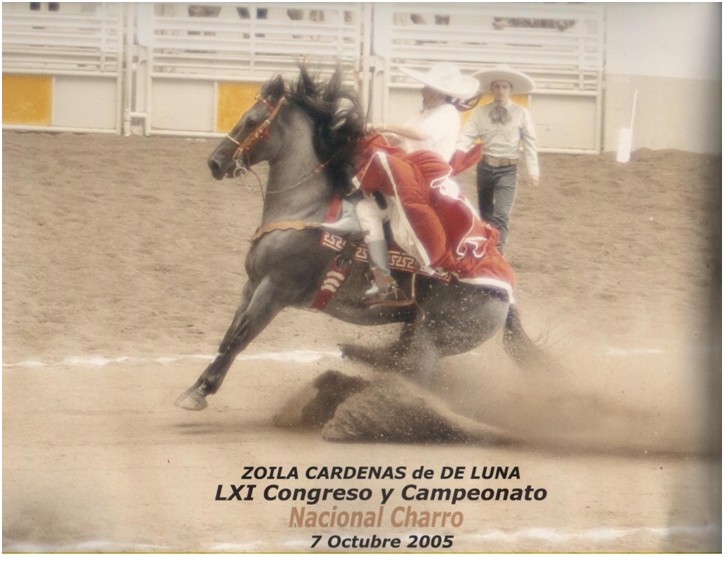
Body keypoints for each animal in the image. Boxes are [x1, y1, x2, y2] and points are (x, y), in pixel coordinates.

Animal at [174, 65, 548, 412]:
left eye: (252, 120)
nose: (215, 163)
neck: (307, 208)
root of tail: (506, 295)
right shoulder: (252, 284)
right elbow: (229, 335)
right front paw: (197, 386)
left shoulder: (275, 289)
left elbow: (240, 337)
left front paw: (198, 393)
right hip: (417, 327)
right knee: (396, 360)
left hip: (435, 337)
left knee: (416, 376)